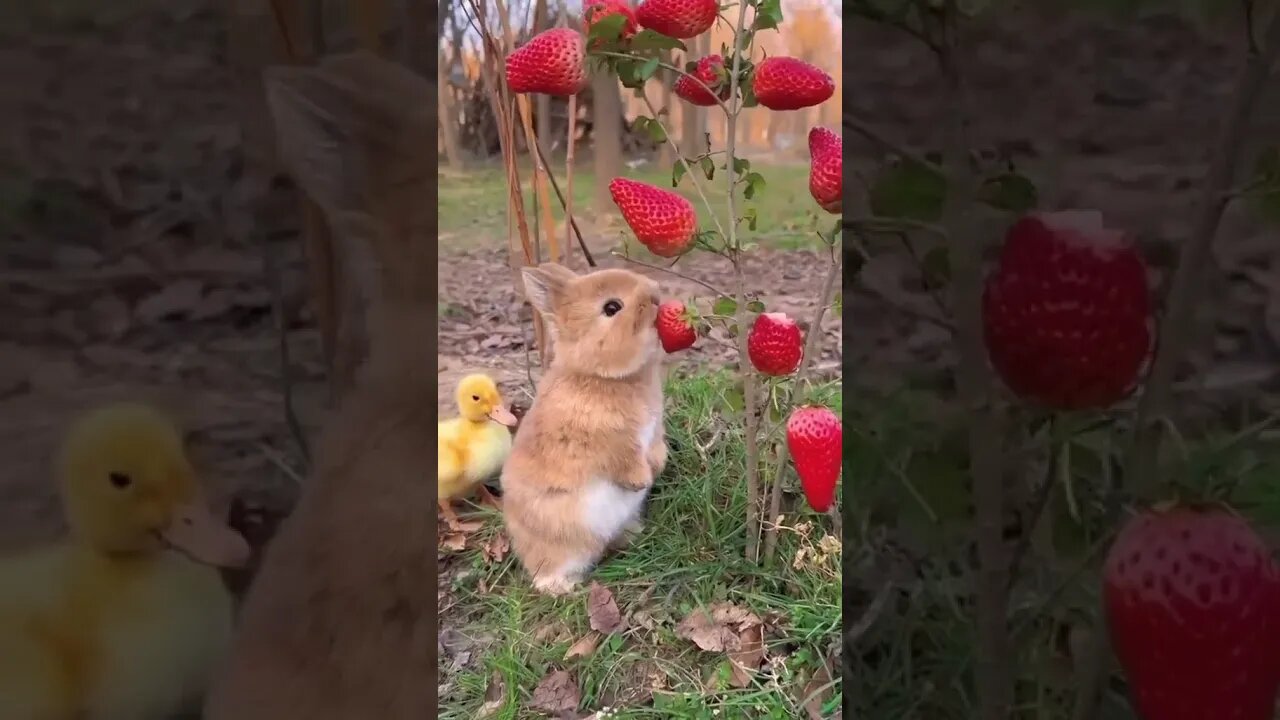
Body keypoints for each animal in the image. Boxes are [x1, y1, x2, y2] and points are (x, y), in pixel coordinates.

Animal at [496, 260, 670, 591]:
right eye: (612, 307)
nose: (657, 296)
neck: (600, 375)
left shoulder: (653, 432)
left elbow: (656, 450)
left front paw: (657, 469)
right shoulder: (611, 443)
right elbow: (625, 462)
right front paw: (641, 480)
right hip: (560, 542)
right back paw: (563, 588)